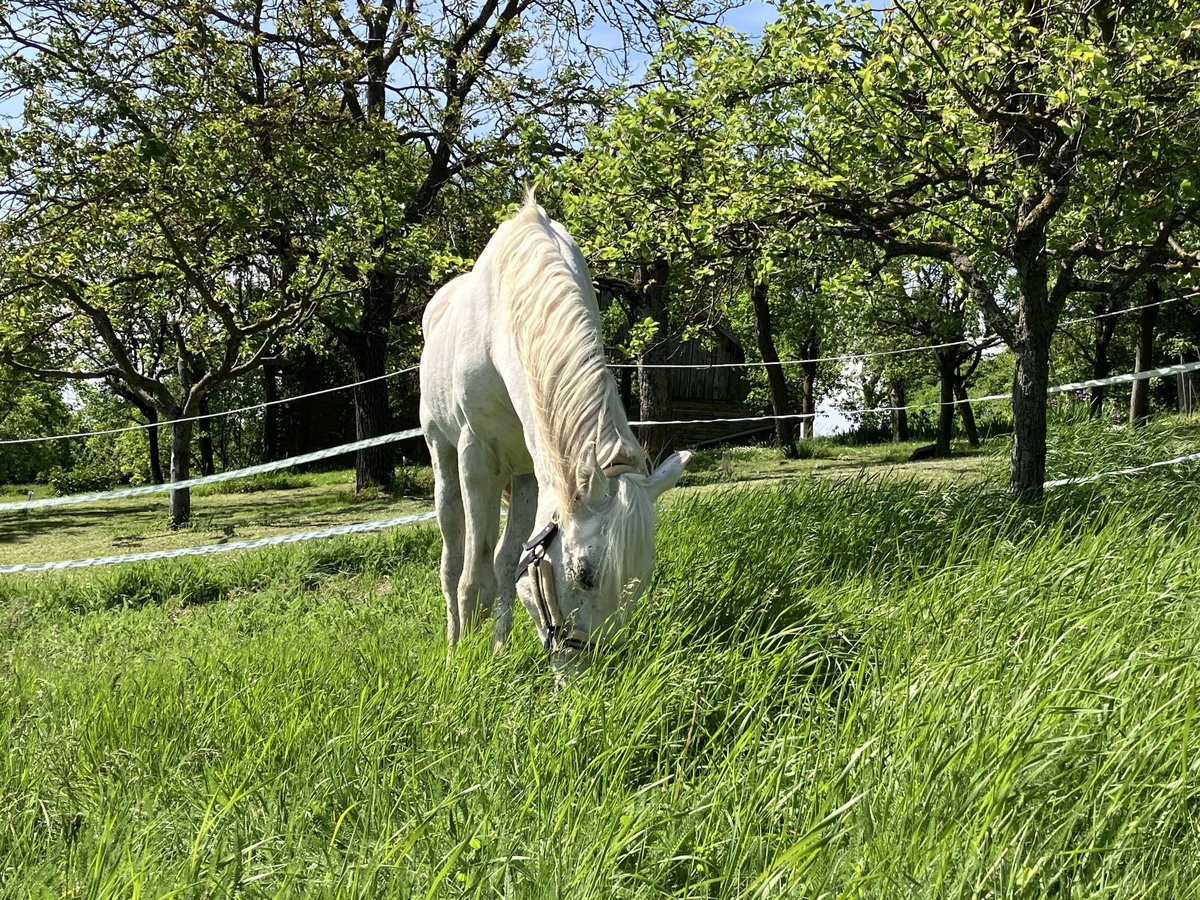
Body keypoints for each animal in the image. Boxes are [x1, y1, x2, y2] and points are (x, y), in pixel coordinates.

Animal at [420, 190, 686, 672]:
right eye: (583, 575)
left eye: (641, 580)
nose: (587, 667)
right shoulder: (477, 457)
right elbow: (475, 579)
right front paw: (465, 667)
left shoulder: (534, 468)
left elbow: (506, 565)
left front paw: (498, 652)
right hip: (443, 454)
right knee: (453, 560)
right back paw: (452, 644)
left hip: (524, 476)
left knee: (504, 560)